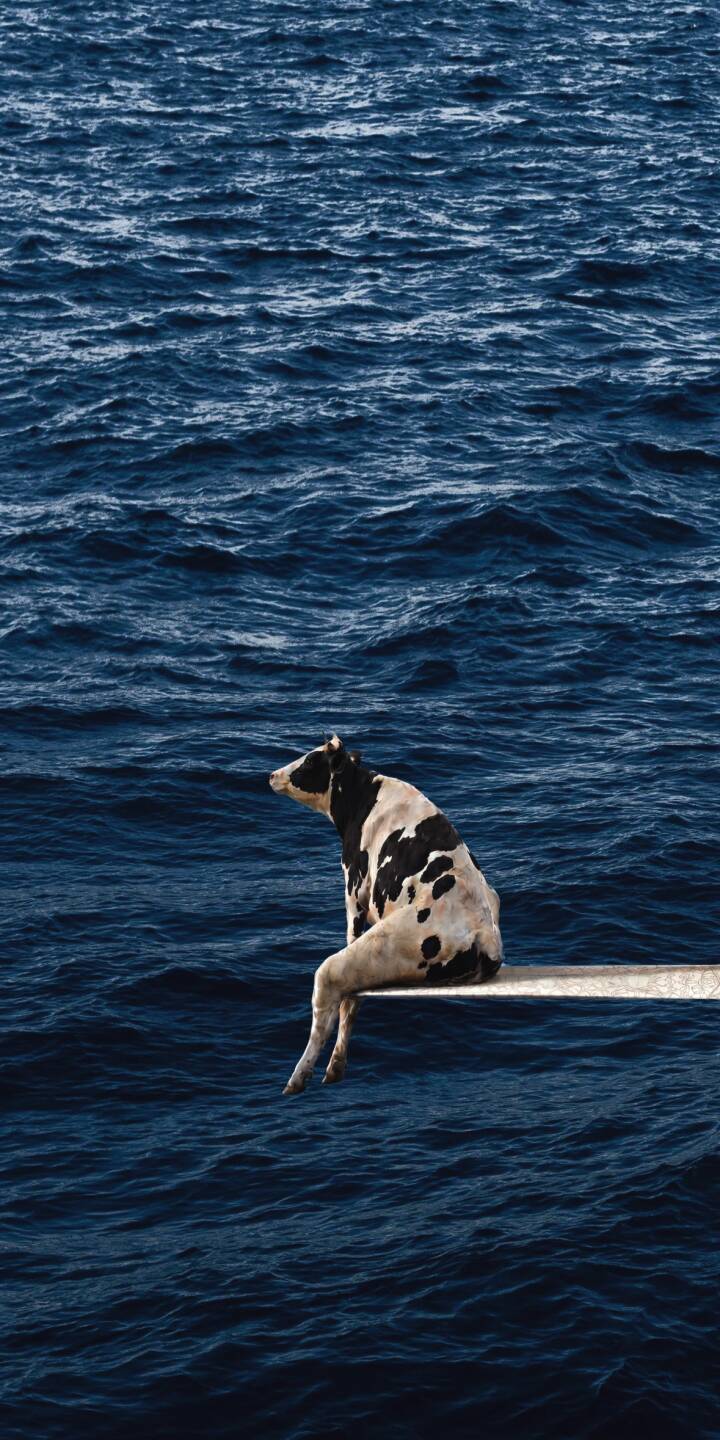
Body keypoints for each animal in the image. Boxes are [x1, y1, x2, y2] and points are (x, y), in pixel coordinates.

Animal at [269, 735, 503, 1095]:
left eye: (309, 761)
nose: (272, 775)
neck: (362, 795)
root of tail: (483, 934)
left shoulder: (354, 888)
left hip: (365, 956)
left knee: (335, 1004)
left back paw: (302, 1078)